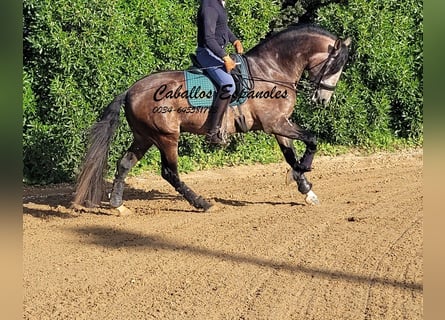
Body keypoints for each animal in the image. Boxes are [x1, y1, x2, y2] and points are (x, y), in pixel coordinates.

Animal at [73, 24, 350, 212]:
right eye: (335, 65)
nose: (322, 100)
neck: (272, 70)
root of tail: (131, 90)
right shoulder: (275, 123)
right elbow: (312, 140)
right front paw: (301, 172)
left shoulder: (280, 124)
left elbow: (290, 154)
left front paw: (306, 189)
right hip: (166, 137)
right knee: (169, 172)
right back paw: (202, 203)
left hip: (145, 137)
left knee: (124, 164)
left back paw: (117, 205)